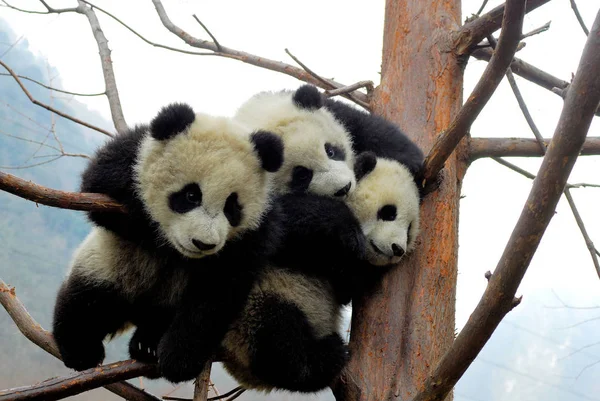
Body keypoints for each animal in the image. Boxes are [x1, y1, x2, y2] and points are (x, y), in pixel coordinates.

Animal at [51, 102, 284, 382]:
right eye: (191, 195)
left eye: (232, 207)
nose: (203, 244)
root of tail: (133, 313)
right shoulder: (132, 156)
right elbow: (98, 187)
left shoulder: (254, 234)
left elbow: (213, 297)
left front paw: (178, 360)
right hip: (107, 264)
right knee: (86, 300)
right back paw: (81, 349)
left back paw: (147, 346)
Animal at [220, 152, 422, 392]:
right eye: (389, 212)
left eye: (409, 230)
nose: (398, 249)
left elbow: (348, 283)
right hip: (255, 305)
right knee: (277, 336)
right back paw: (326, 356)